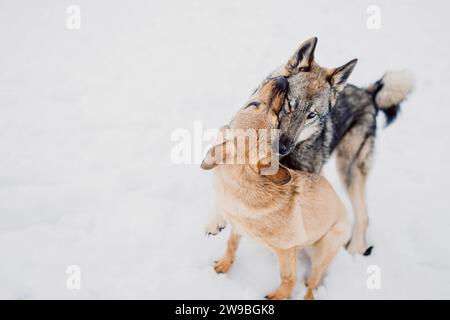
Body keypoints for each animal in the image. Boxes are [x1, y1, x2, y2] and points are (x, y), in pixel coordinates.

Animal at [201, 77, 352, 300]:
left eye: (276, 120)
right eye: (254, 104)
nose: (282, 81)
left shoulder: (286, 251)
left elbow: (288, 279)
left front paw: (279, 295)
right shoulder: (237, 227)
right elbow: (231, 245)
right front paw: (224, 265)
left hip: (324, 250)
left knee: (312, 283)